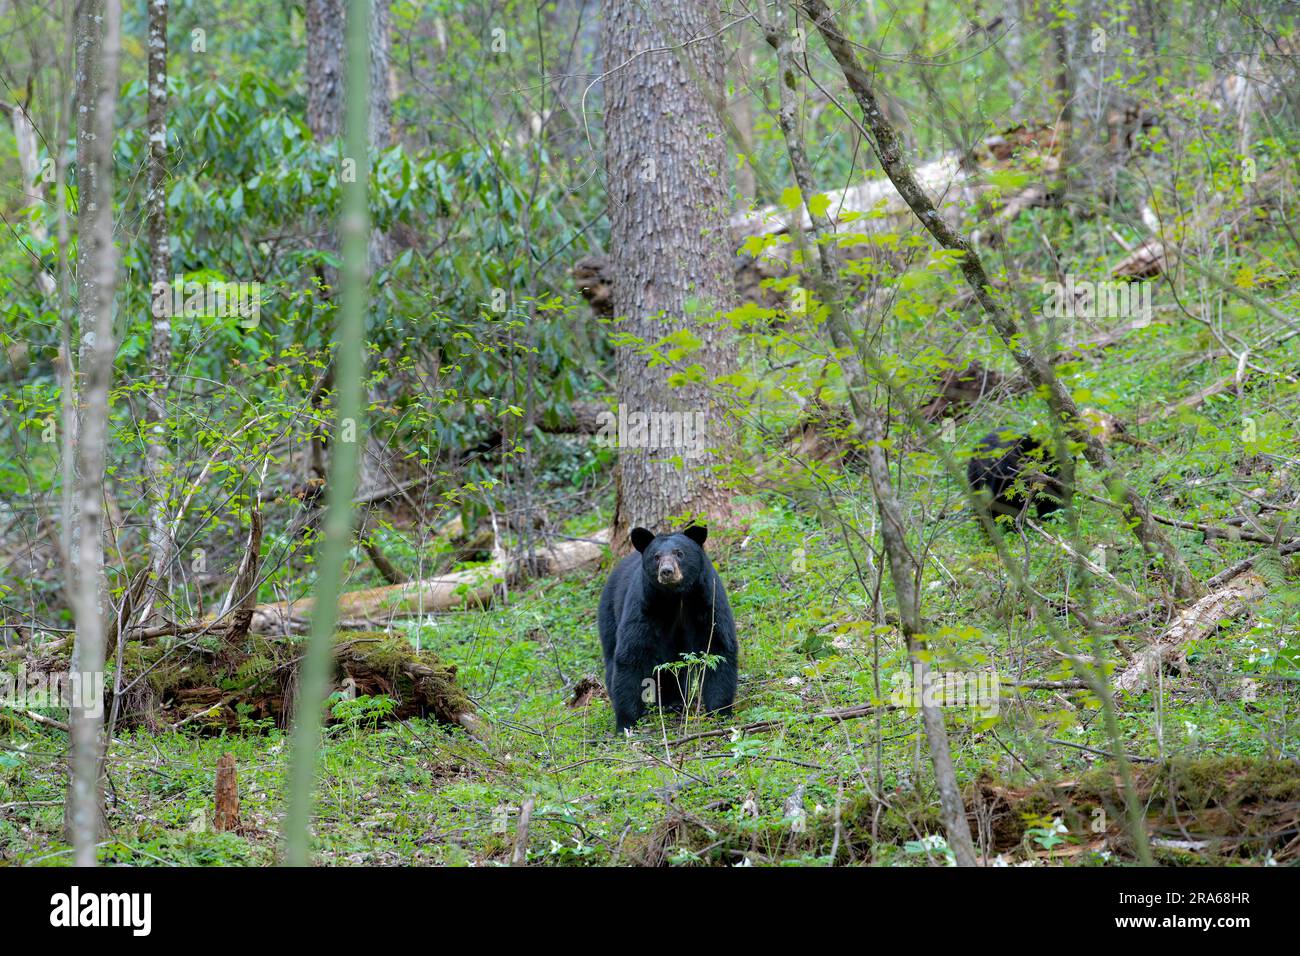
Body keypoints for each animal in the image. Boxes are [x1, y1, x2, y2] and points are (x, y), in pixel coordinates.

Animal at [598, 525, 738, 733]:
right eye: (656, 556)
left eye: (679, 553)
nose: (667, 571)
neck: (675, 597)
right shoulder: (645, 606)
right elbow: (632, 655)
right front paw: (626, 722)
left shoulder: (707, 600)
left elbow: (717, 646)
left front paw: (720, 711)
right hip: (609, 614)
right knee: (611, 657)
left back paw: (674, 702)